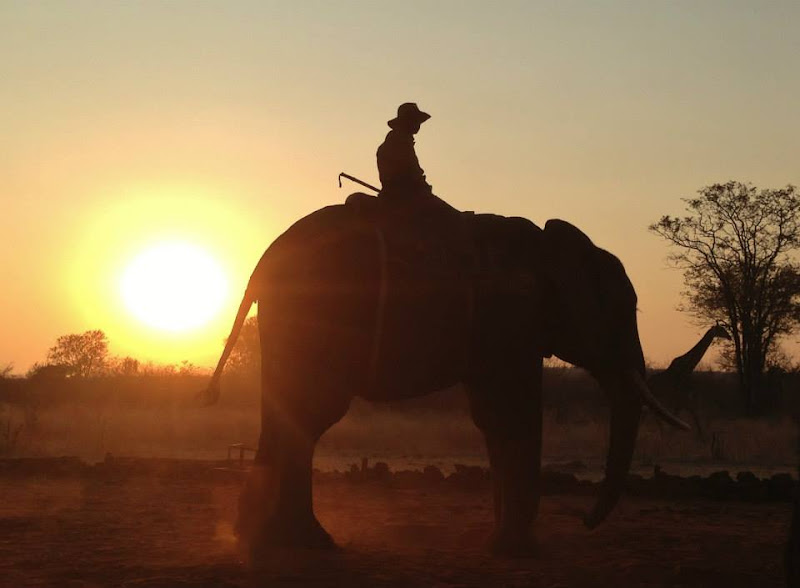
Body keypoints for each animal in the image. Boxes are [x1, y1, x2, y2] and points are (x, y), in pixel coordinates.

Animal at [202, 203, 688, 556]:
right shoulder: (512, 317)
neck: (549, 242)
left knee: (289, 415)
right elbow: (513, 414)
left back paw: (273, 541)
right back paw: (298, 544)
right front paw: (517, 550)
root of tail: (261, 263)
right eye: (623, 311)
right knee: (311, 413)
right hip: (318, 316)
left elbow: (493, 418)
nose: (584, 521)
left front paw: (499, 546)